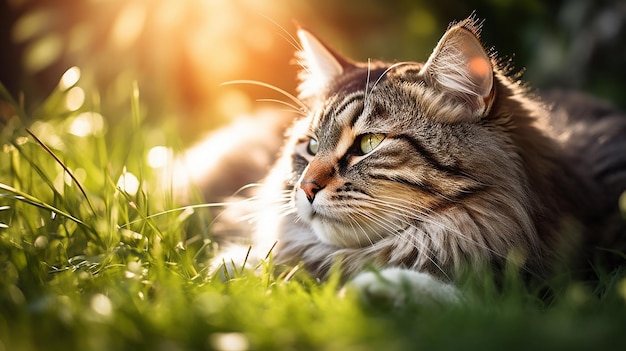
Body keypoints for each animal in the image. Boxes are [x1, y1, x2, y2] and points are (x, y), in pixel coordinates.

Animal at [194, 16, 624, 306]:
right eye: (312, 146)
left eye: (369, 143)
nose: (305, 188)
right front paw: (238, 266)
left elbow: (464, 302)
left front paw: (384, 286)